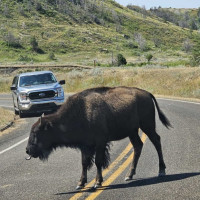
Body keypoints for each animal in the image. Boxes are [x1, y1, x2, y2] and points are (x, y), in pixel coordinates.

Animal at [25, 86, 171, 189]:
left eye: (36, 132)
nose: (28, 150)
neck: (81, 112)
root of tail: (147, 93)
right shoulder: (85, 146)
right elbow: (84, 163)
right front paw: (80, 183)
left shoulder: (100, 143)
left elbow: (98, 162)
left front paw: (97, 183)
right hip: (133, 131)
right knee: (138, 146)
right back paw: (129, 175)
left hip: (147, 126)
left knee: (156, 141)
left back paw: (161, 170)